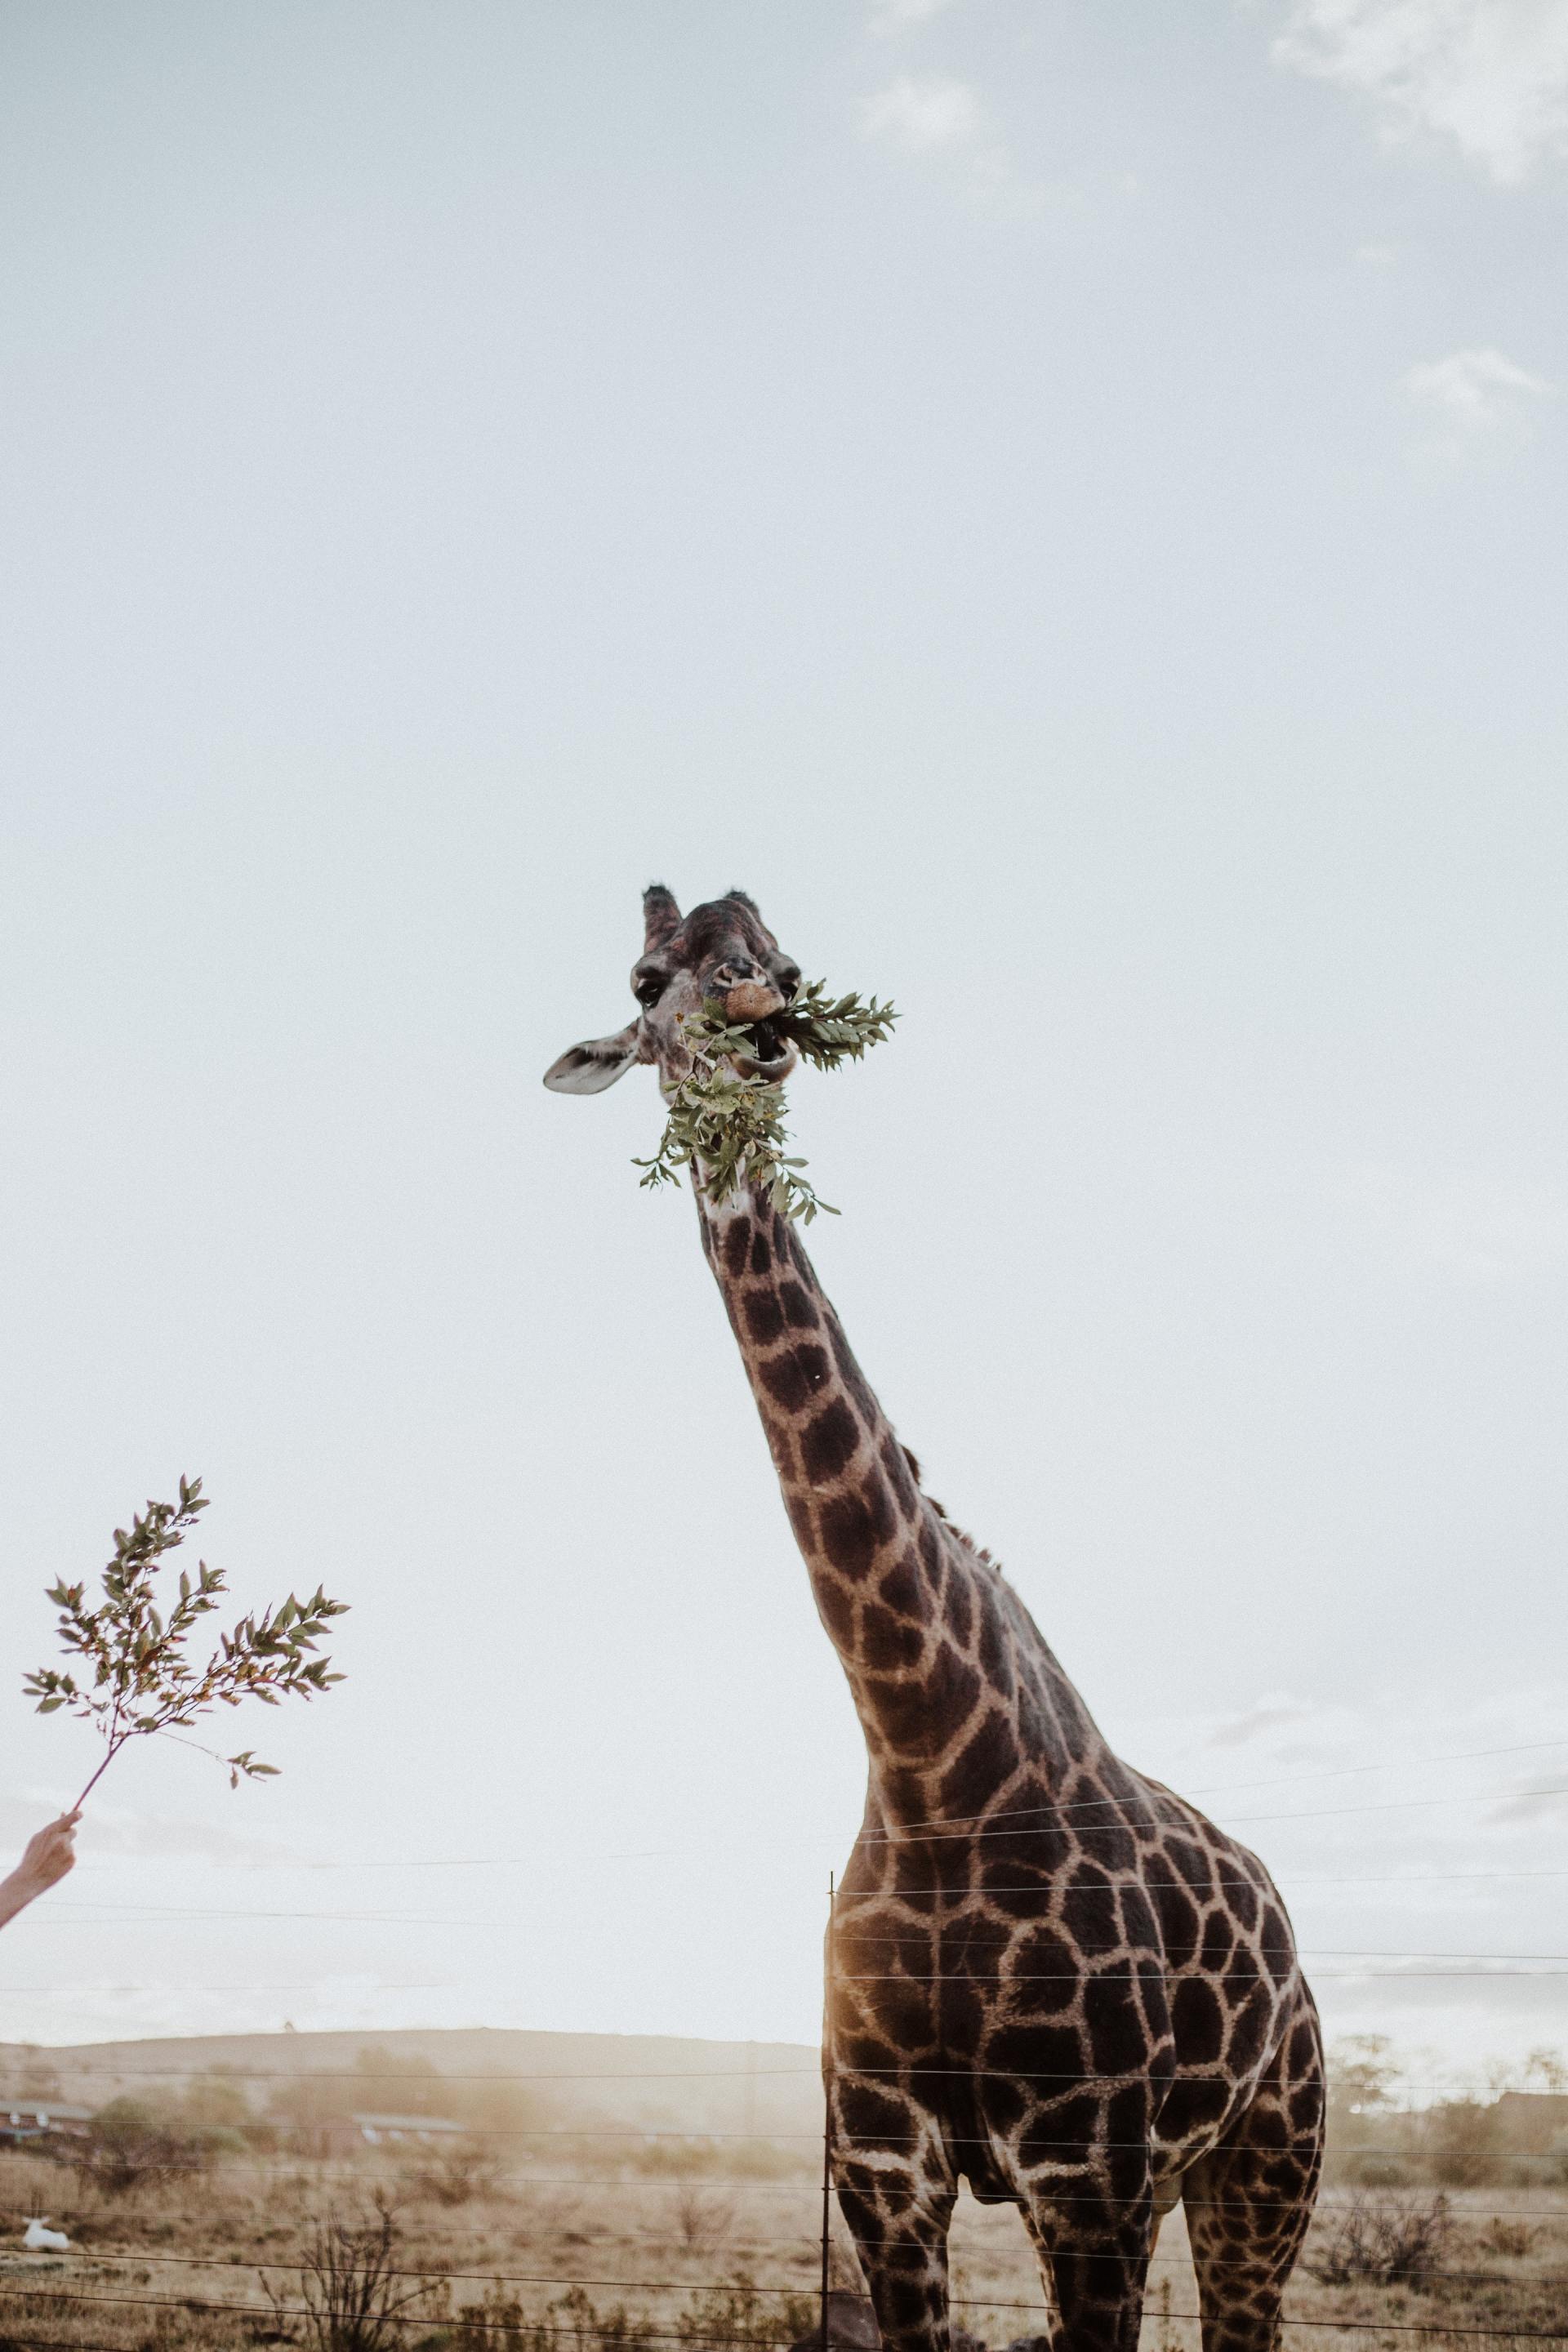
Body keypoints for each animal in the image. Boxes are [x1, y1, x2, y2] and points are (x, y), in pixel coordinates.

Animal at [546, 887, 1325, 2352]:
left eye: (784, 960)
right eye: (646, 977)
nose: (758, 1020)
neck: (926, 1750)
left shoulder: (1088, 2175)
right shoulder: (885, 2168)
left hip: (1270, 2163)